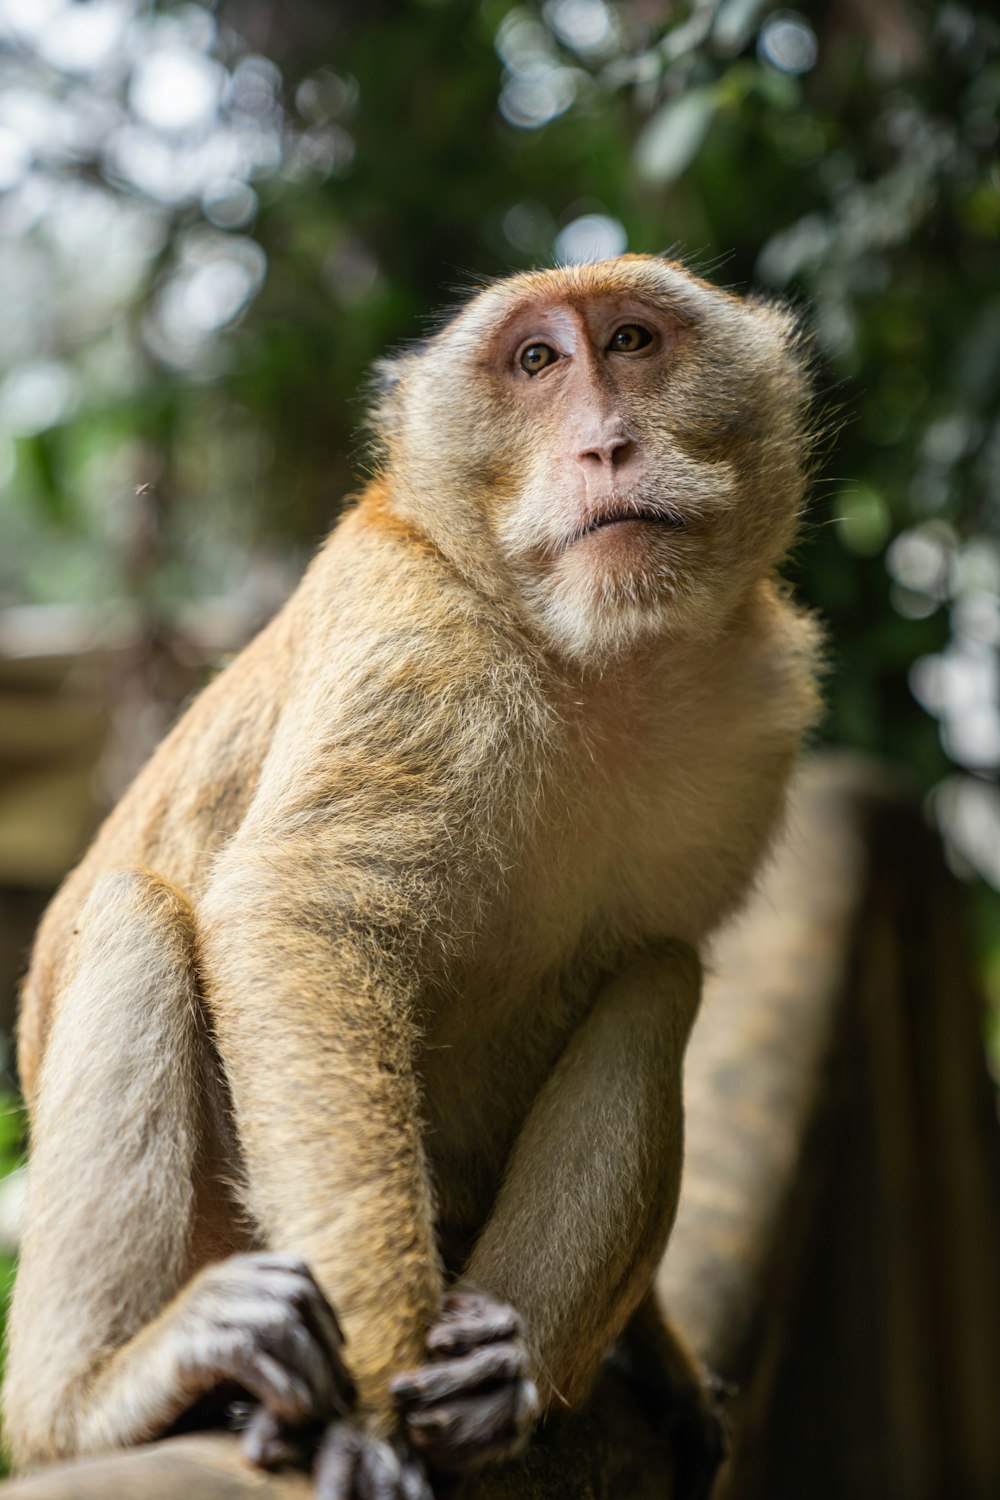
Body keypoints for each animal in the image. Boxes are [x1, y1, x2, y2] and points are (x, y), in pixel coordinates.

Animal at [1, 258, 821, 1500]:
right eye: (535, 361)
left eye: (632, 342)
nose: (607, 447)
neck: (589, 658)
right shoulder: (418, 647)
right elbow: (299, 920)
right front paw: (378, 1410)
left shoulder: (757, 710)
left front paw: (651, 1357)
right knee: (140, 915)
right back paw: (92, 1402)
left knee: (656, 975)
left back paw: (499, 1371)